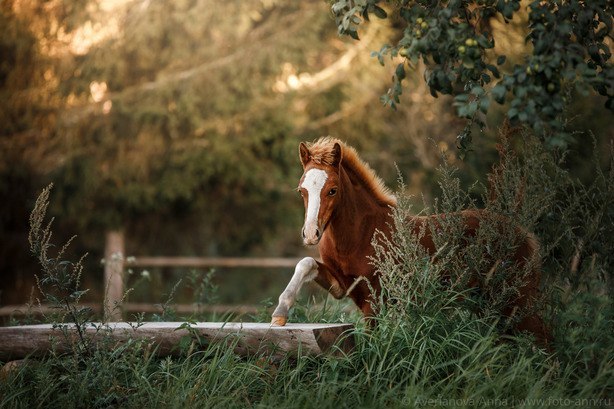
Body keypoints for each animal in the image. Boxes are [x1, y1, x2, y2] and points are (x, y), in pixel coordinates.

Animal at [272, 136, 552, 344]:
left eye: (332, 190)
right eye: (301, 190)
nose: (311, 234)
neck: (361, 233)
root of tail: (525, 234)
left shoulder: (374, 300)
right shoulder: (342, 286)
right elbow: (306, 263)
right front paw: (279, 315)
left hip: (518, 301)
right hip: (491, 304)